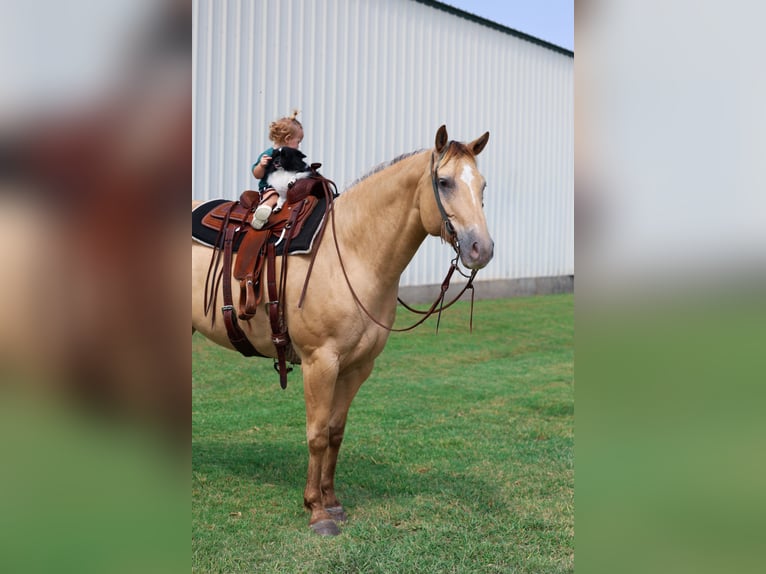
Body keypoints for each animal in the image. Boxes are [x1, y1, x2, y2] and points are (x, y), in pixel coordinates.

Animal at [192, 125, 494, 535]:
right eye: (444, 182)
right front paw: (317, 511)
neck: (351, 252)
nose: (482, 249)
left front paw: (332, 501)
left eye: (482, 185)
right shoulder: (320, 362)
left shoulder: (356, 367)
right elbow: (317, 434)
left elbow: (335, 432)